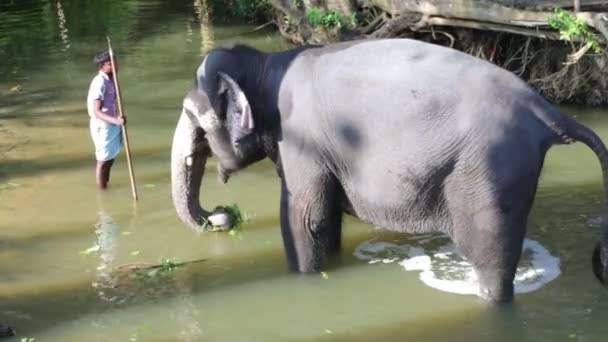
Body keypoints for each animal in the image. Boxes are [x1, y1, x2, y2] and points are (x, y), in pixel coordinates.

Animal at [170, 38, 608, 304]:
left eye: (193, 115)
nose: (222, 214)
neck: (265, 65)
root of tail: (547, 112)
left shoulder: (300, 142)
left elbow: (305, 219)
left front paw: (303, 278)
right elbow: (325, 221)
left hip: (488, 170)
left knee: (489, 254)